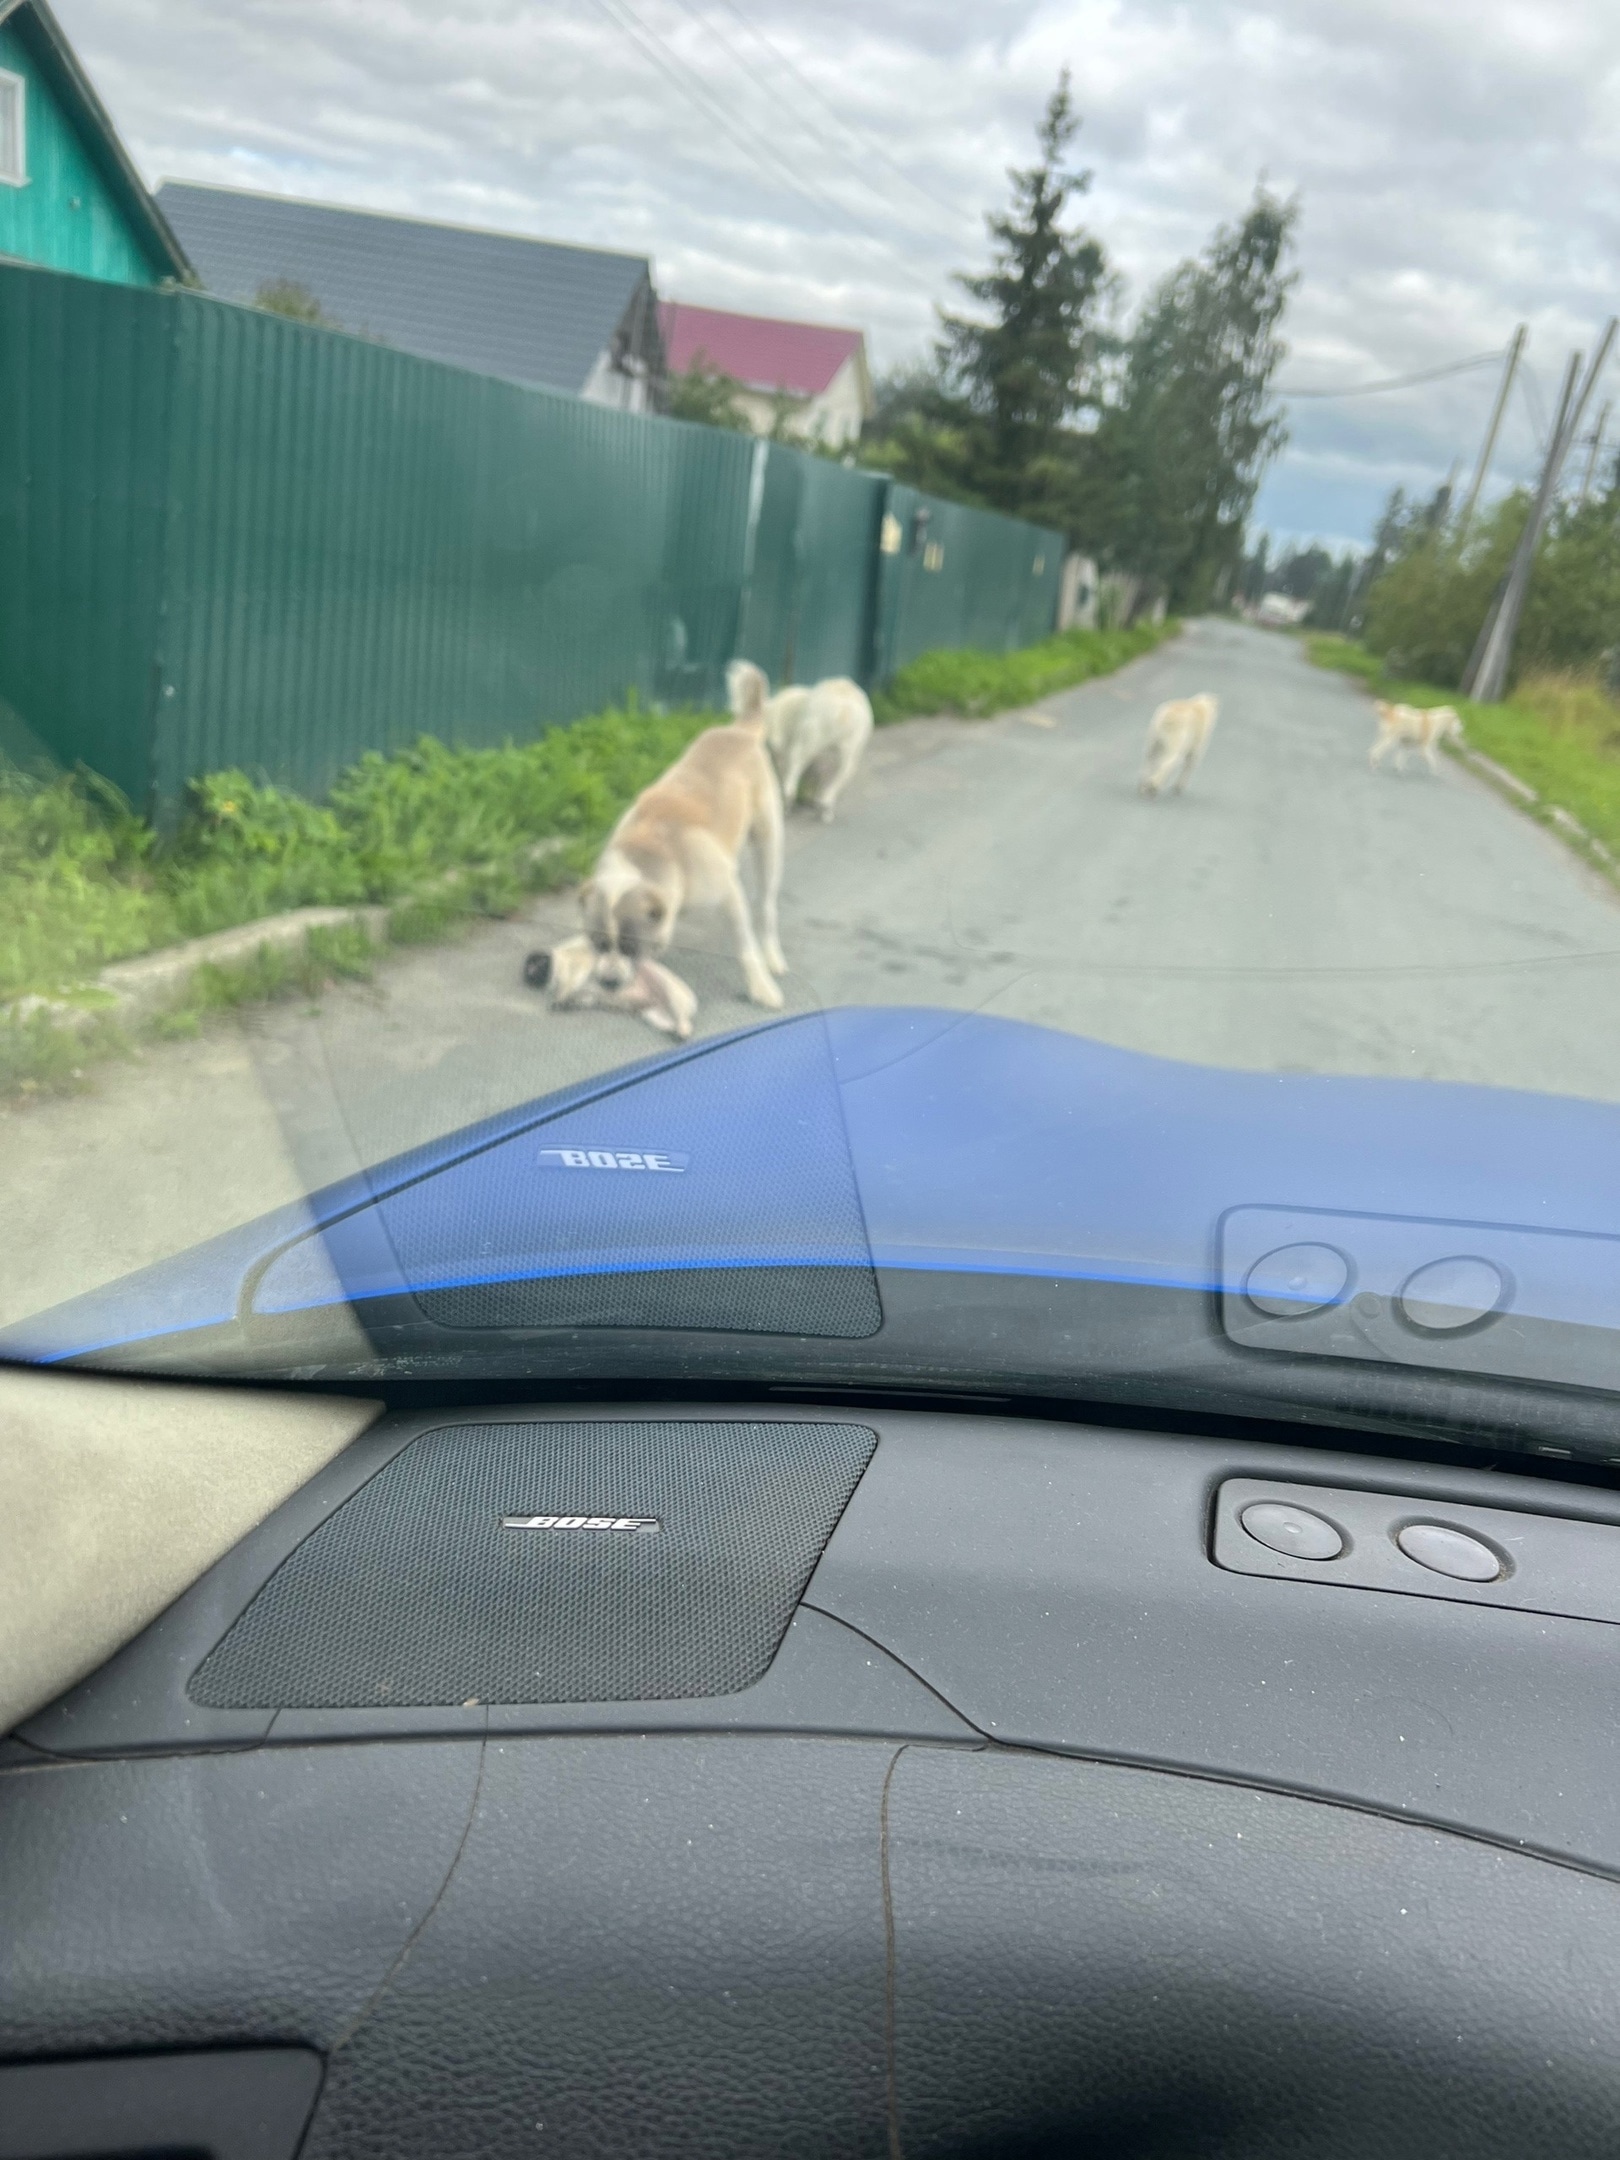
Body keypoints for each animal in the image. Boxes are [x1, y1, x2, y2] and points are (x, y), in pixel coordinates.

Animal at [760, 669, 876, 820]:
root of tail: (842, 713)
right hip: (844, 741)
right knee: (842, 769)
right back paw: (822, 804)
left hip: (817, 732)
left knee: (800, 759)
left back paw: (791, 799)